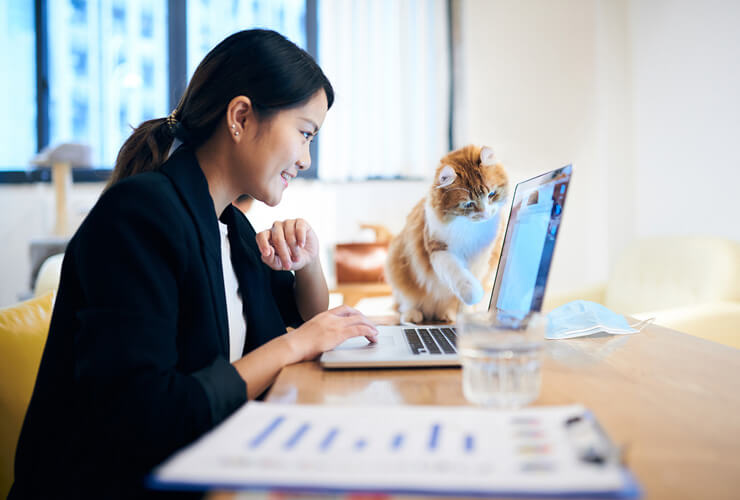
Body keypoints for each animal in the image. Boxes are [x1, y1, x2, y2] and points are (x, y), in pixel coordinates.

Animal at [382, 145, 508, 324]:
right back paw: (413, 315)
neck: (470, 229)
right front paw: (472, 293)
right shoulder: (438, 249)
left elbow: (467, 296)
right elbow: (460, 276)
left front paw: (466, 314)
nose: (485, 214)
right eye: (468, 204)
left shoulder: (483, 257)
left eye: (491, 194)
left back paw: (448, 315)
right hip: (397, 264)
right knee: (406, 302)